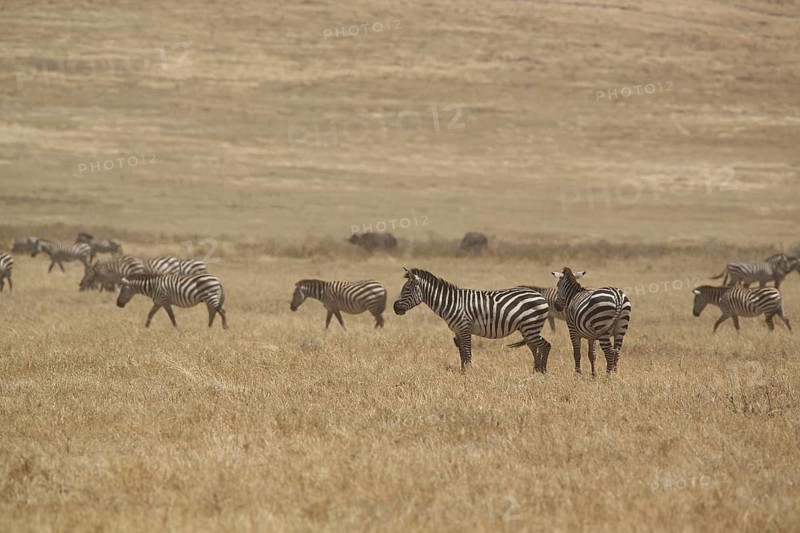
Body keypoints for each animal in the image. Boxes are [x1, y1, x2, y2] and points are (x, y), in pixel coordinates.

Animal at [393, 268, 551, 373]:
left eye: (407, 289)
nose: (395, 308)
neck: (451, 302)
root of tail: (539, 295)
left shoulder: (465, 327)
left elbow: (468, 350)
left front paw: (468, 372)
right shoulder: (457, 330)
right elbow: (462, 351)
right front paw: (463, 370)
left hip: (531, 326)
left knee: (545, 345)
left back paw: (542, 371)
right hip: (526, 328)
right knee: (534, 347)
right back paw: (535, 371)